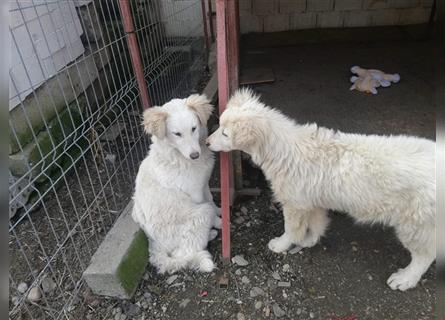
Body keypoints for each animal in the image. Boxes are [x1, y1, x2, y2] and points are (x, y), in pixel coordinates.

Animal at [132, 94, 222, 274]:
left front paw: (221, 210)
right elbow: (210, 207)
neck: (177, 156)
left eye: (194, 128)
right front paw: (221, 222)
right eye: (177, 134)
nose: (195, 155)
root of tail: (154, 245)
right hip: (199, 214)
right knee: (182, 252)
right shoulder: (195, 194)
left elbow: (211, 200)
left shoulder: (203, 184)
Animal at [207, 89, 434, 292]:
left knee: (424, 256)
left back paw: (405, 279)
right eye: (219, 126)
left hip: (414, 223)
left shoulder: (295, 204)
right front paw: (309, 240)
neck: (282, 149)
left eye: (225, 134)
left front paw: (281, 245)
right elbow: (316, 223)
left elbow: (291, 229)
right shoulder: (312, 201)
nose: (207, 142)